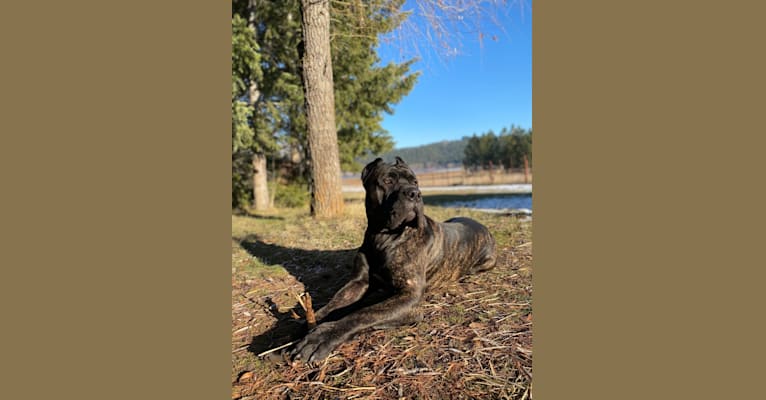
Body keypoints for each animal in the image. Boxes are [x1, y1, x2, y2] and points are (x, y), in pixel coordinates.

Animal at [290, 156, 498, 362]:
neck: (383, 237)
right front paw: (310, 321)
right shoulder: (358, 283)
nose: (415, 193)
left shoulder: (409, 296)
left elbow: (363, 314)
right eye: (388, 181)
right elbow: (334, 303)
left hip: (487, 261)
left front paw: (322, 336)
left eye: (415, 182)